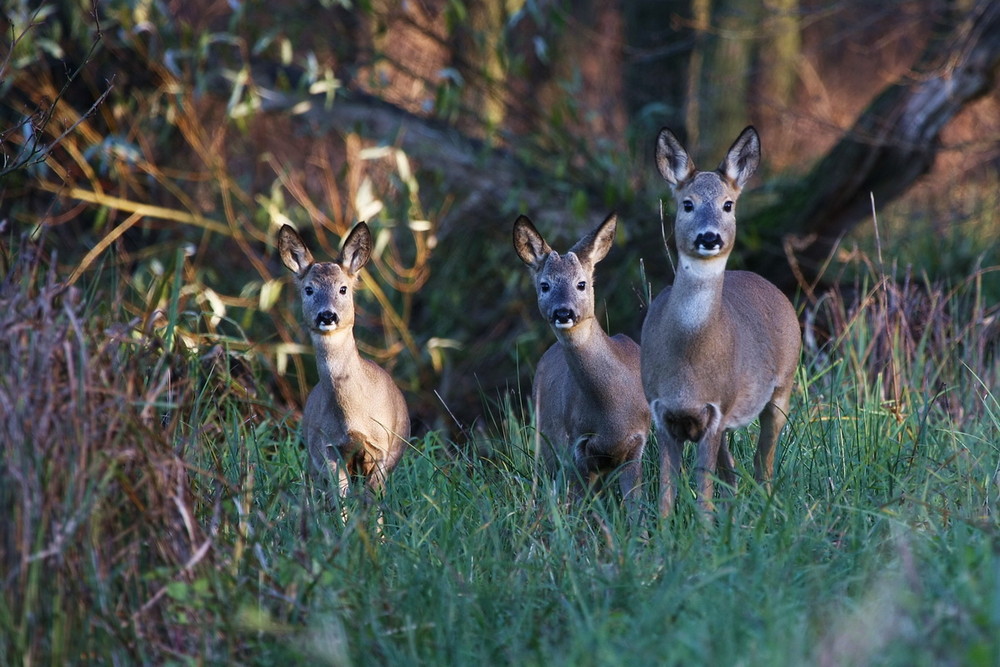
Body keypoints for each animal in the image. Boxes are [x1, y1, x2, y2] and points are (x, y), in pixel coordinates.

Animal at [278, 224, 410, 496]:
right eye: (309, 289)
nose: (327, 315)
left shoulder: (381, 448)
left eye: (343, 288)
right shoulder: (326, 448)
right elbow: (342, 498)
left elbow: (371, 498)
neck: (353, 417)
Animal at [516, 211, 648, 520]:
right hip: (545, 440)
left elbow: (635, 508)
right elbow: (579, 509)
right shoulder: (576, 446)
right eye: (545, 285)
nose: (563, 312)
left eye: (581, 283)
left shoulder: (636, 445)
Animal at [644, 128, 800, 520]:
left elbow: (703, 492)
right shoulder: (661, 410)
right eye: (687, 203)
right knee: (732, 471)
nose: (709, 237)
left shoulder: (715, 409)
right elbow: (667, 492)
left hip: (783, 387)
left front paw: (703, 530)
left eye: (728, 204)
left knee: (763, 464)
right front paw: (661, 531)